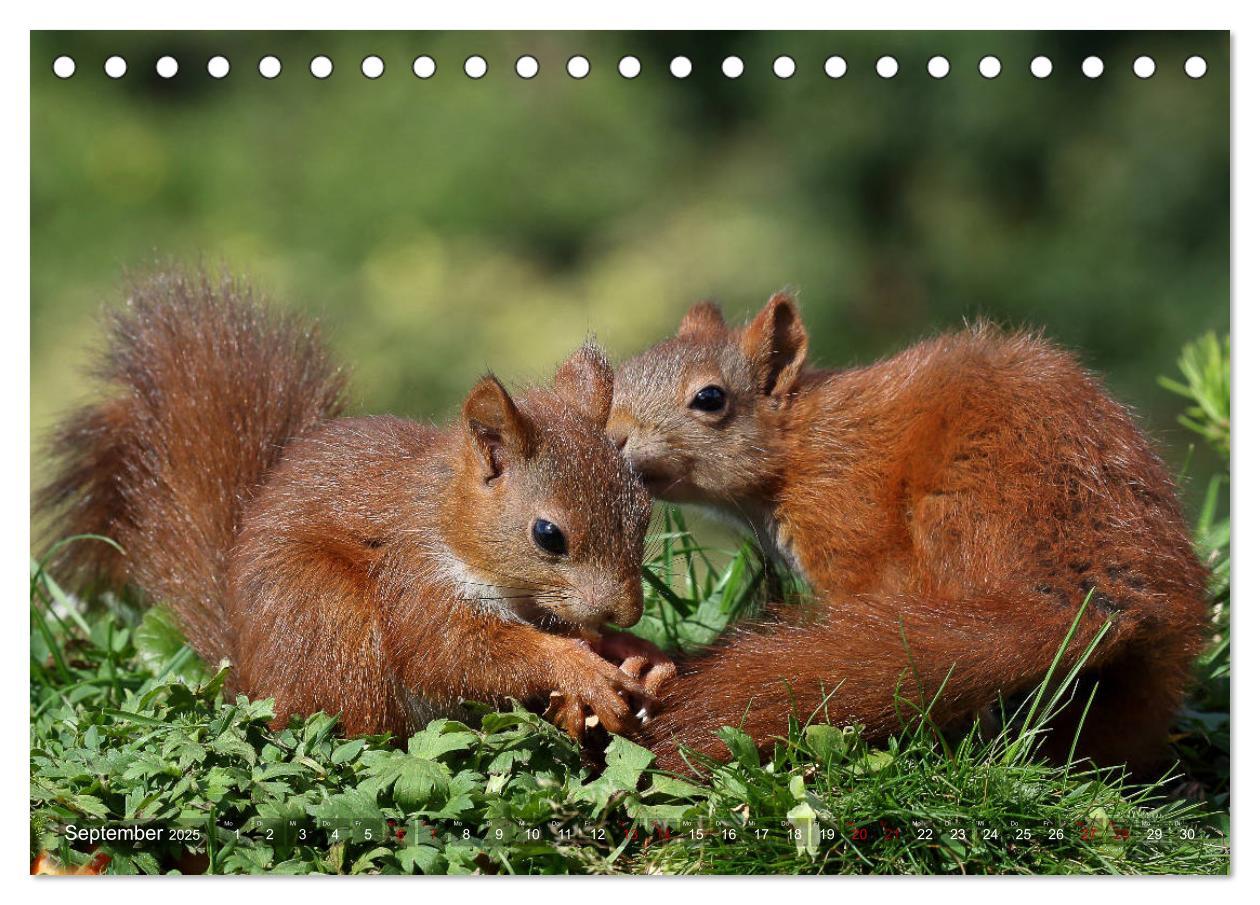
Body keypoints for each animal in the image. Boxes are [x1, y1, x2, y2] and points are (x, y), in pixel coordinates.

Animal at [34, 269, 675, 746]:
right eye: (547, 534)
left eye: (644, 511)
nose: (626, 613)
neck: (451, 523)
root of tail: (248, 681)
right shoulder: (414, 582)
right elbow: (454, 654)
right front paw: (578, 669)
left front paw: (637, 657)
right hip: (331, 623)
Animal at [609, 293, 1209, 776]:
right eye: (620, 377)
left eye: (710, 398)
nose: (610, 437)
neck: (801, 446)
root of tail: (1090, 584)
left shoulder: (848, 527)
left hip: (956, 519)